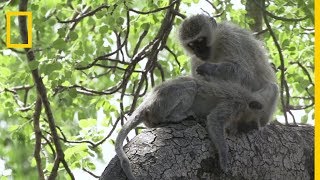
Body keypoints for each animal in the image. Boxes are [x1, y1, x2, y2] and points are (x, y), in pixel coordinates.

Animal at [115, 76, 276, 179]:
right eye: (254, 123)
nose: (254, 129)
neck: (246, 100)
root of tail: (148, 103)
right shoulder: (233, 104)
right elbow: (214, 120)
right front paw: (224, 157)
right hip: (163, 102)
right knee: (191, 86)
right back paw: (177, 117)